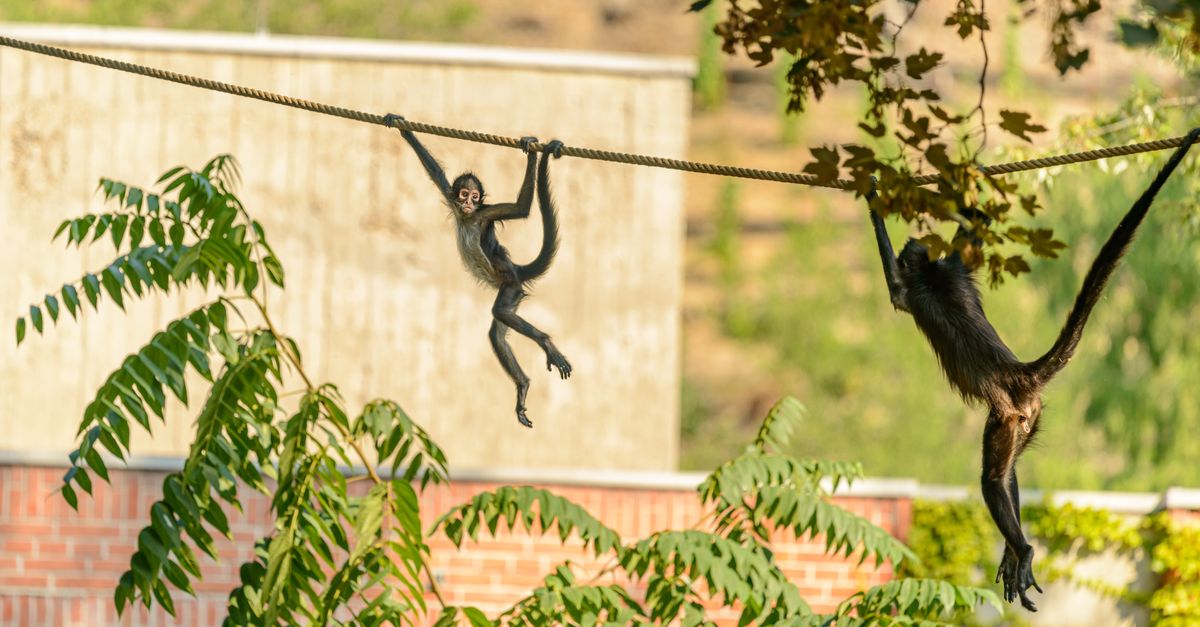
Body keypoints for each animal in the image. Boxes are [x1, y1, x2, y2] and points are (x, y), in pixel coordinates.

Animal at [384, 115, 571, 429]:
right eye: (463, 194)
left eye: (475, 196)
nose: (468, 203)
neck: (468, 218)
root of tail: (514, 270)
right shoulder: (451, 199)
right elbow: (434, 170)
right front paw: (400, 125)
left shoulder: (485, 214)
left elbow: (521, 209)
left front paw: (530, 148)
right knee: (497, 332)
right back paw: (522, 385)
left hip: (510, 286)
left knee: (500, 312)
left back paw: (545, 343)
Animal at [864, 127, 1200, 612]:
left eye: (915, 252)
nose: (916, 242)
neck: (933, 271)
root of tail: (1019, 372)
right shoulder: (955, 264)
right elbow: (977, 225)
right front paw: (970, 177)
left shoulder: (914, 288)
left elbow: (894, 284)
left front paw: (872, 195)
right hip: (1029, 418)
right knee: (1008, 473)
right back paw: (1013, 552)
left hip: (1006, 416)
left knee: (991, 480)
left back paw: (1021, 548)